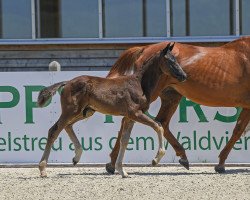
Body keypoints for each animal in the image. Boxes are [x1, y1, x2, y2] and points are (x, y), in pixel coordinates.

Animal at [101, 36, 250, 173]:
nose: (183, 75)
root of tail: (145, 48)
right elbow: (238, 130)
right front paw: (220, 164)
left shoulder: (247, 106)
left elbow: (238, 129)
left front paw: (221, 163)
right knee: (130, 119)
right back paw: (113, 163)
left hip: (171, 96)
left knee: (161, 122)